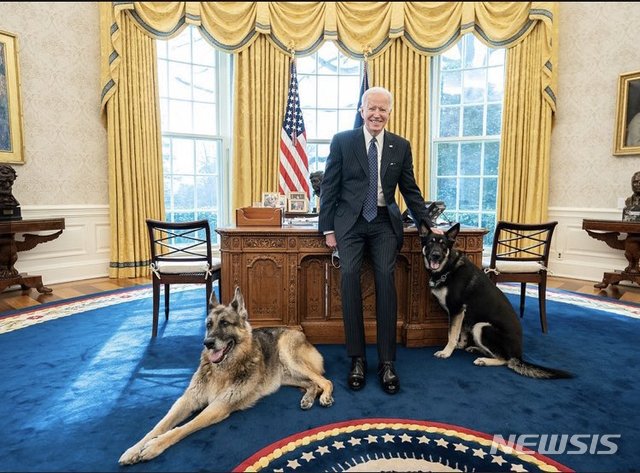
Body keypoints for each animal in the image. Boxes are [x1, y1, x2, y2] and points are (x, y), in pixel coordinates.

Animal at [118, 286, 336, 462]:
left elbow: (183, 428)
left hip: (289, 356)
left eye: (224, 323)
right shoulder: (187, 400)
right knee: (312, 384)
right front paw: (134, 449)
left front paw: (155, 445)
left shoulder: (218, 406)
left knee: (325, 381)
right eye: (209, 325)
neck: (222, 369)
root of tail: (299, 332)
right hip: (286, 376)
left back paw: (324, 397)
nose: (207, 343)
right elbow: (159, 426)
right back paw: (307, 398)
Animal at [418, 221, 572, 380]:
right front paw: (461, 345)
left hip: (482, 327)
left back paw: (484, 360)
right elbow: (462, 332)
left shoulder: (456, 310)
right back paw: (476, 349)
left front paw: (447, 351)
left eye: (443, 245)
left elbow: (452, 334)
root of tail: (519, 355)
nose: (435, 256)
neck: (448, 268)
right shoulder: (464, 315)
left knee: (505, 360)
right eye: (430, 243)